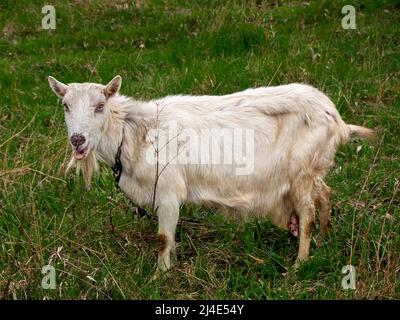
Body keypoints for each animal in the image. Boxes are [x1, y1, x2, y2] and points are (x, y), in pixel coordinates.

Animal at [48, 75, 374, 276]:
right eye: (65, 106)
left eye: (100, 106)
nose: (77, 139)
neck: (134, 132)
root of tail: (338, 120)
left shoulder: (169, 191)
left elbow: (163, 238)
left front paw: (159, 275)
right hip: (314, 169)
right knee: (325, 194)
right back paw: (324, 237)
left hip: (301, 171)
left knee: (307, 213)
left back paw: (299, 263)